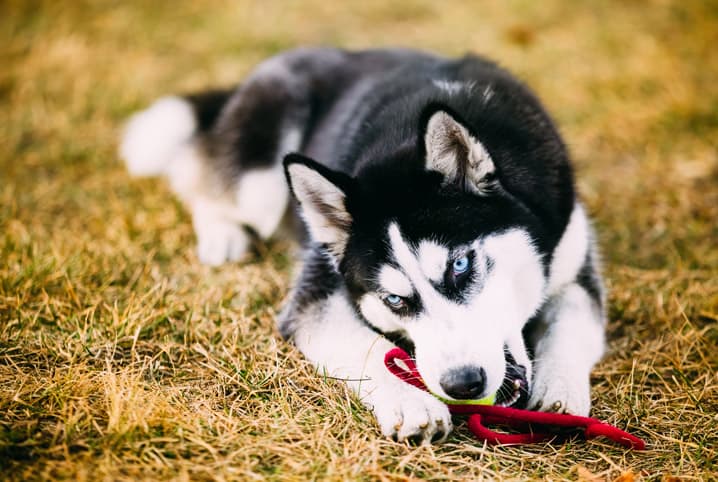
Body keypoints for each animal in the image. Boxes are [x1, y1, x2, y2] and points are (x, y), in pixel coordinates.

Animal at [122, 47, 608, 442]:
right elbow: (368, 345)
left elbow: (572, 323)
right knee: (198, 176)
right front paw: (410, 401)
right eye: (394, 299)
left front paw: (560, 390)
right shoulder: (317, 290)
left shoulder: (573, 262)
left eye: (461, 266)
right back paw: (221, 234)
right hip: (260, 182)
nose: (462, 384)